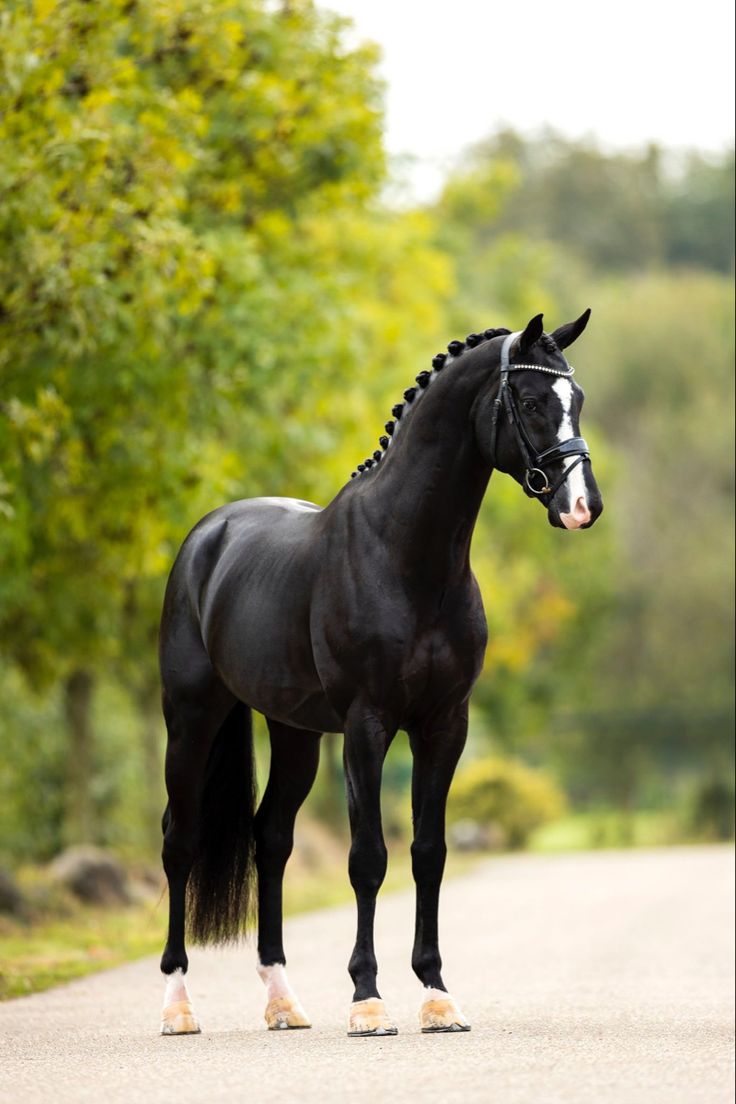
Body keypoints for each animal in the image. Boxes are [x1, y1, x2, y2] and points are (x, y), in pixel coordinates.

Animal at [158, 311, 600, 1033]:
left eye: (578, 399)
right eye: (533, 401)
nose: (582, 505)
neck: (404, 555)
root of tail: (207, 537)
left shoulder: (444, 725)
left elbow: (429, 854)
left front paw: (437, 995)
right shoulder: (368, 726)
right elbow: (368, 859)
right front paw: (368, 999)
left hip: (295, 734)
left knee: (270, 838)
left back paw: (284, 1003)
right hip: (192, 717)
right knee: (180, 841)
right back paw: (177, 1005)